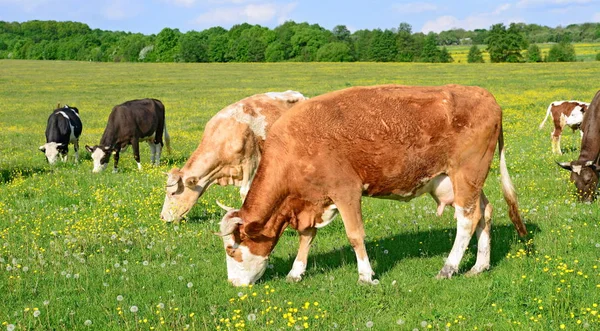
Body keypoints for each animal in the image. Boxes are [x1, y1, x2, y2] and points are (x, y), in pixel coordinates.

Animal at [214, 85, 524, 288]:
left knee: (466, 220)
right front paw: (296, 272)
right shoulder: (310, 199)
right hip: (466, 181)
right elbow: (307, 235)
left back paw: (448, 268)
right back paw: (479, 266)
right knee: (485, 213)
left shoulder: (346, 191)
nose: (233, 284)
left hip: (466, 174)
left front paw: (366, 275)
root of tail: (485, 95)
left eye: (231, 250)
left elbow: (355, 235)